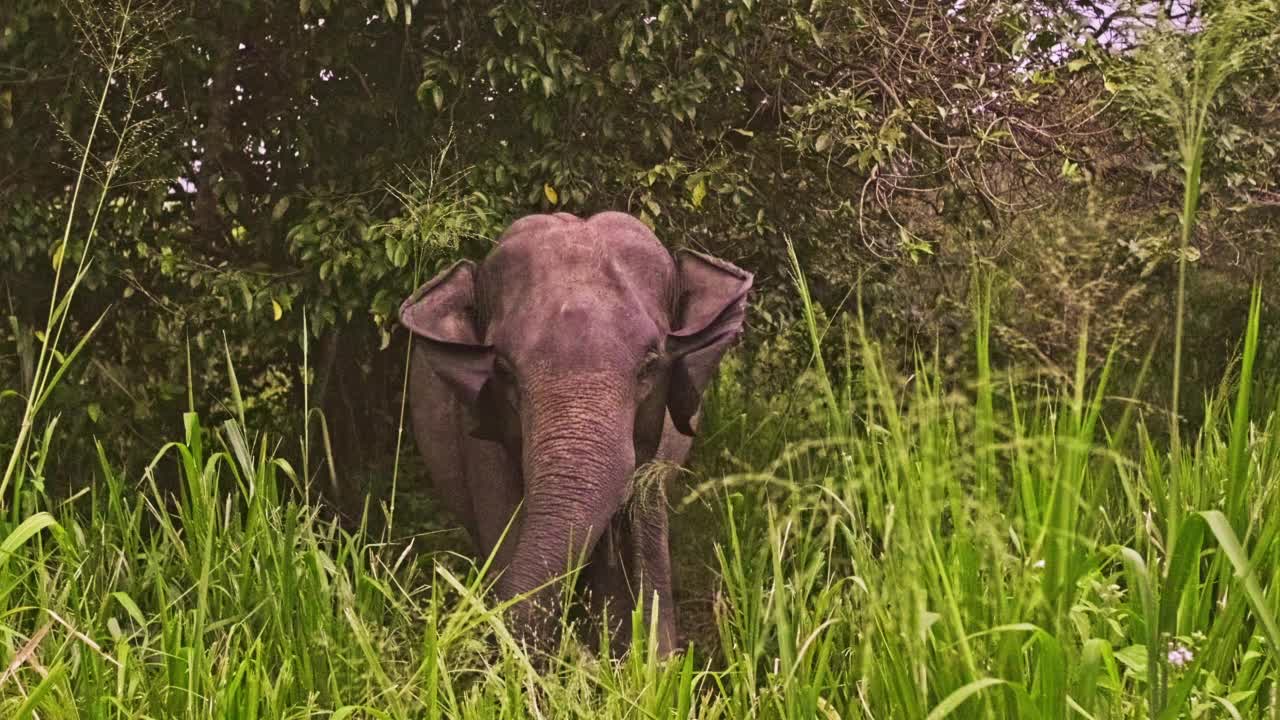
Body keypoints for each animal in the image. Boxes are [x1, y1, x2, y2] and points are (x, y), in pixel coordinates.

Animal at [399, 210, 747, 653]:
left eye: (651, 364)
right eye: (503, 371)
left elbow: (645, 525)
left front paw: (652, 657)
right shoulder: (478, 432)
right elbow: (505, 530)